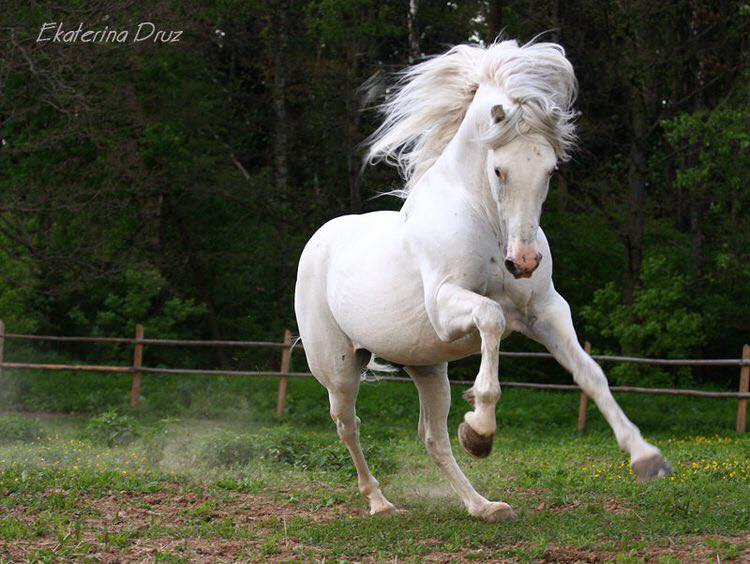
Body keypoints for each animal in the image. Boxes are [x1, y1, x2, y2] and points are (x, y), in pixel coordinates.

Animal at [296, 40, 676, 524]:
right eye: (498, 170)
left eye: (550, 170)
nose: (524, 261)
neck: (486, 222)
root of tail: (320, 240)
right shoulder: (446, 308)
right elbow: (492, 318)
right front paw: (479, 432)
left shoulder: (546, 311)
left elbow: (590, 374)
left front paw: (646, 457)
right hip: (340, 368)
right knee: (349, 426)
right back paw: (380, 503)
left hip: (427, 367)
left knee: (433, 438)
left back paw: (484, 506)